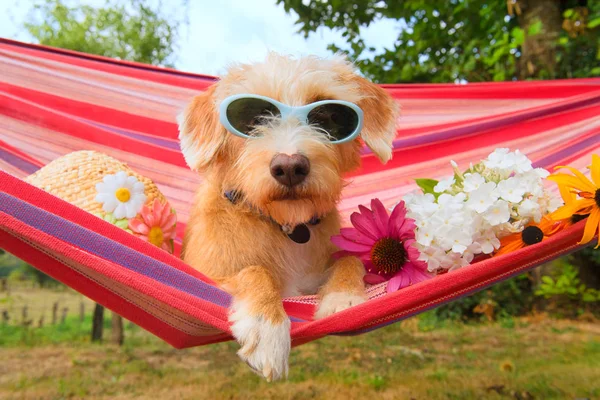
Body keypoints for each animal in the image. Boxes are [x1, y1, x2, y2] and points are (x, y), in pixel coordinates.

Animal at [177, 53, 398, 382]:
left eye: (328, 116)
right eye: (253, 118)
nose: (290, 167)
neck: (286, 226)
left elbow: (350, 259)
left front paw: (343, 298)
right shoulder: (206, 274)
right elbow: (256, 271)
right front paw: (267, 327)